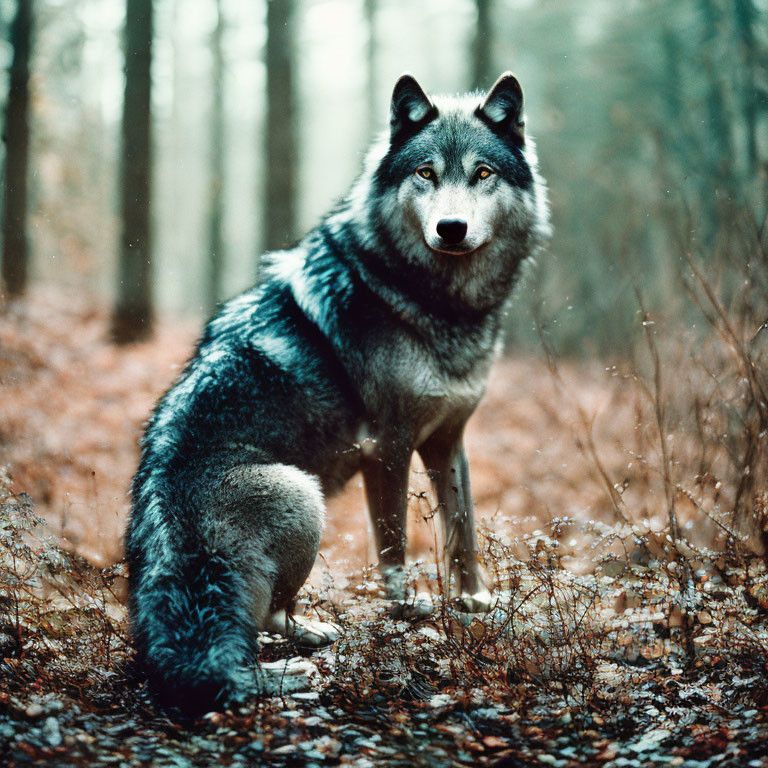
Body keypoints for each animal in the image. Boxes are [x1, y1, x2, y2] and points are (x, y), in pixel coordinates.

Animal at [126, 72, 548, 712]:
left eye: (482, 173)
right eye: (425, 173)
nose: (451, 228)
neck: (430, 302)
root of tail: (163, 536)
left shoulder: (448, 441)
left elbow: (464, 531)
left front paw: (474, 602)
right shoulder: (389, 448)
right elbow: (394, 548)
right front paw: (408, 612)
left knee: (266, 623)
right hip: (303, 495)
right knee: (265, 625)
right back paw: (296, 666)